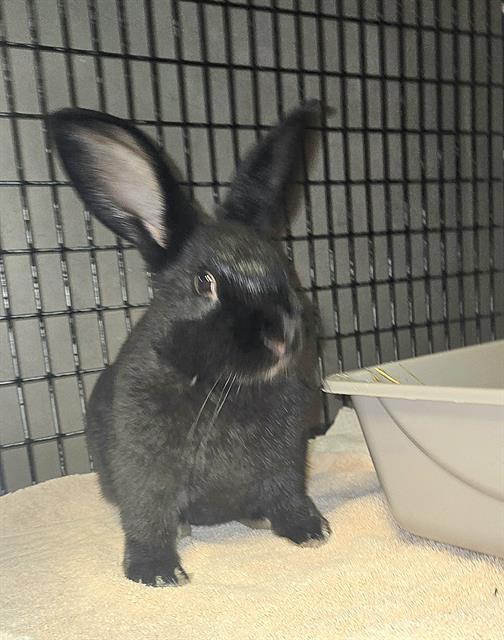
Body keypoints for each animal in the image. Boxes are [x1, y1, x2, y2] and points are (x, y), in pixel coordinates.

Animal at [48, 101, 331, 587]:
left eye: (283, 269)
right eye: (204, 283)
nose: (282, 337)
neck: (221, 386)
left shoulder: (287, 462)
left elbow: (288, 495)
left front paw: (310, 531)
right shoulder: (143, 469)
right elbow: (147, 518)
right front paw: (156, 573)